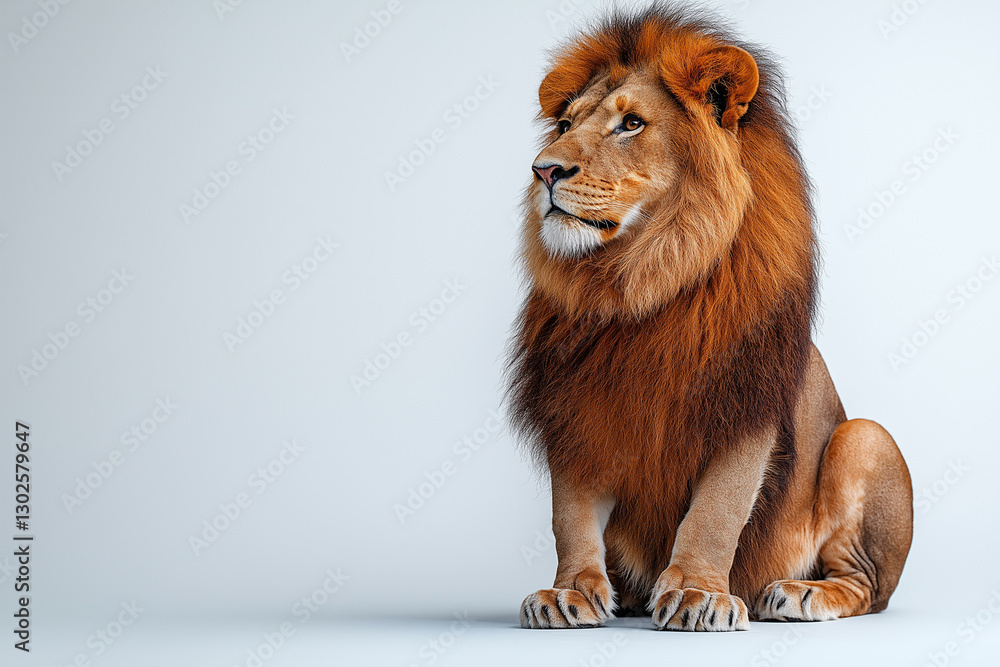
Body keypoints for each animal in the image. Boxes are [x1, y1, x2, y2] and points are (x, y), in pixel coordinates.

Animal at [507, 4, 913, 632]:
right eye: (564, 125)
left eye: (631, 124)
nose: (542, 170)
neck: (635, 283)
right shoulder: (575, 408)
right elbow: (569, 514)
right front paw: (569, 591)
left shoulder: (742, 403)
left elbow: (717, 511)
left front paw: (697, 592)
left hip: (864, 438)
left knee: (868, 585)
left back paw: (799, 593)